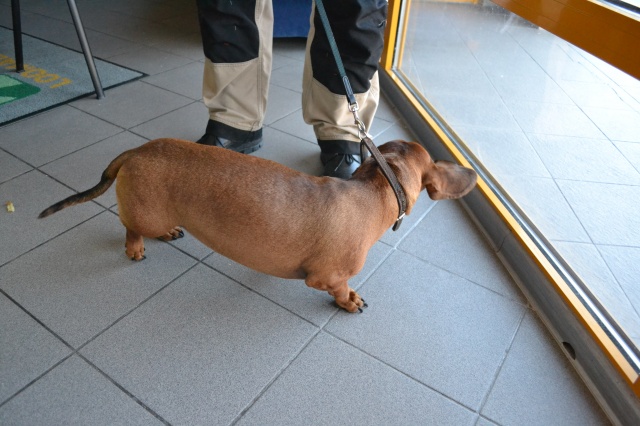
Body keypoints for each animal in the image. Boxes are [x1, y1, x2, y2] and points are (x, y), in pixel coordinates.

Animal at [39, 138, 477, 312]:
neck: (372, 190)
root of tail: (135, 150)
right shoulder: (327, 277)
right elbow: (339, 289)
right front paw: (349, 300)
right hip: (142, 213)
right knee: (130, 227)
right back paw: (136, 247)